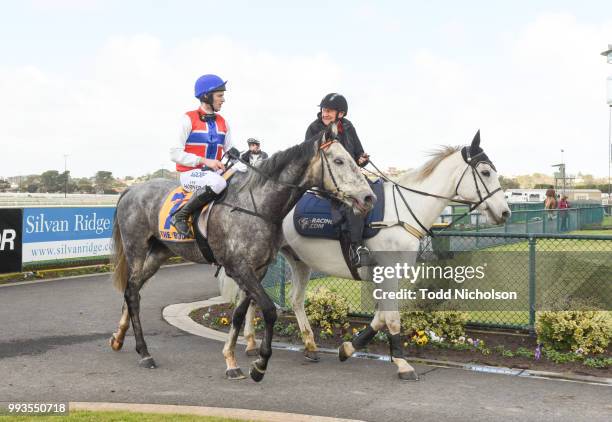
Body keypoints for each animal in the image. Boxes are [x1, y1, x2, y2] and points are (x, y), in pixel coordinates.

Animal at [112, 123, 376, 382]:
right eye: (339, 161)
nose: (368, 197)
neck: (256, 207)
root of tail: (131, 191)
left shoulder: (257, 269)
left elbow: (239, 313)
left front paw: (231, 360)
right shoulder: (238, 267)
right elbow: (268, 310)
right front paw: (260, 364)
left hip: (159, 253)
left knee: (132, 289)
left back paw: (118, 337)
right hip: (137, 248)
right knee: (133, 293)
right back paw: (144, 352)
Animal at [220, 130, 512, 380]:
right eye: (485, 172)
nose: (505, 212)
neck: (403, 211)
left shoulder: (387, 276)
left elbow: (381, 317)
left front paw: (349, 347)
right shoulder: (388, 274)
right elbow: (391, 317)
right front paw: (402, 364)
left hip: (297, 262)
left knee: (289, 300)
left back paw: (304, 345)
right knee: (252, 300)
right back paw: (251, 344)